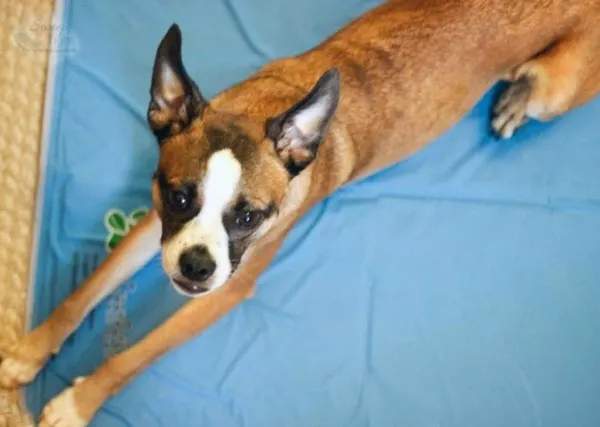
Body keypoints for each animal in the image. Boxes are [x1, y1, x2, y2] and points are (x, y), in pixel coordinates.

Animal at [1, 0, 600, 424]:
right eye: (180, 197)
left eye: (249, 217)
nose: (196, 266)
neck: (262, 108)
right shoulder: (156, 228)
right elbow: (84, 291)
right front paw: (30, 352)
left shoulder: (225, 291)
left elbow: (137, 356)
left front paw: (75, 405)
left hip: (555, 90)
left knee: (538, 91)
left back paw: (514, 104)